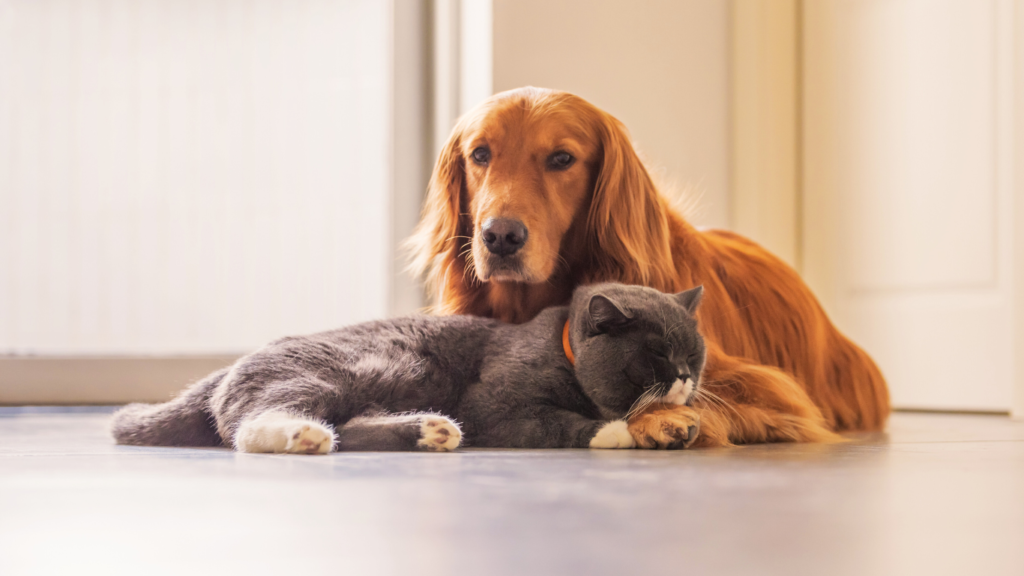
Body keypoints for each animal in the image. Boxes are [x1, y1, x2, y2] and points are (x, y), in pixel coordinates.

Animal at [112, 280, 704, 450]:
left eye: (693, 353)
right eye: (655, 354)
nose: (683, 375)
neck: (560, 347)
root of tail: (229, 365)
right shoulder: (494, 404)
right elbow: (553, 420)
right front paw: (616, 431)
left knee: (351, 426)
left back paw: (432, 431)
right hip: (331, 373)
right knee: (250, 426)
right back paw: (302, 437)